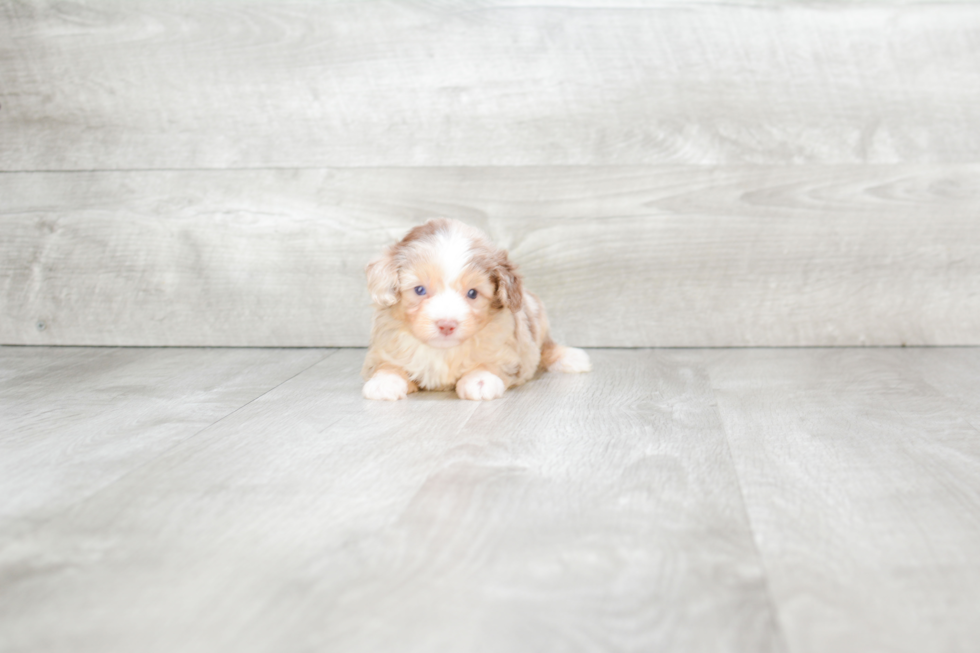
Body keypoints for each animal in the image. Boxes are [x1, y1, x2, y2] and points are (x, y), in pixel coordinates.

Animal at [360, 219, 588, 400]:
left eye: (472, 293)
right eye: (419, 290)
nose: (446, 325)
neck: (443, 351)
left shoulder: (509, 346)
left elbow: (492, 362)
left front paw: (480, 379)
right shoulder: (385, 345)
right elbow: (386, 364)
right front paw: (385, 381)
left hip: (537, 314)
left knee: (547, 347)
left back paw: (571, 357)